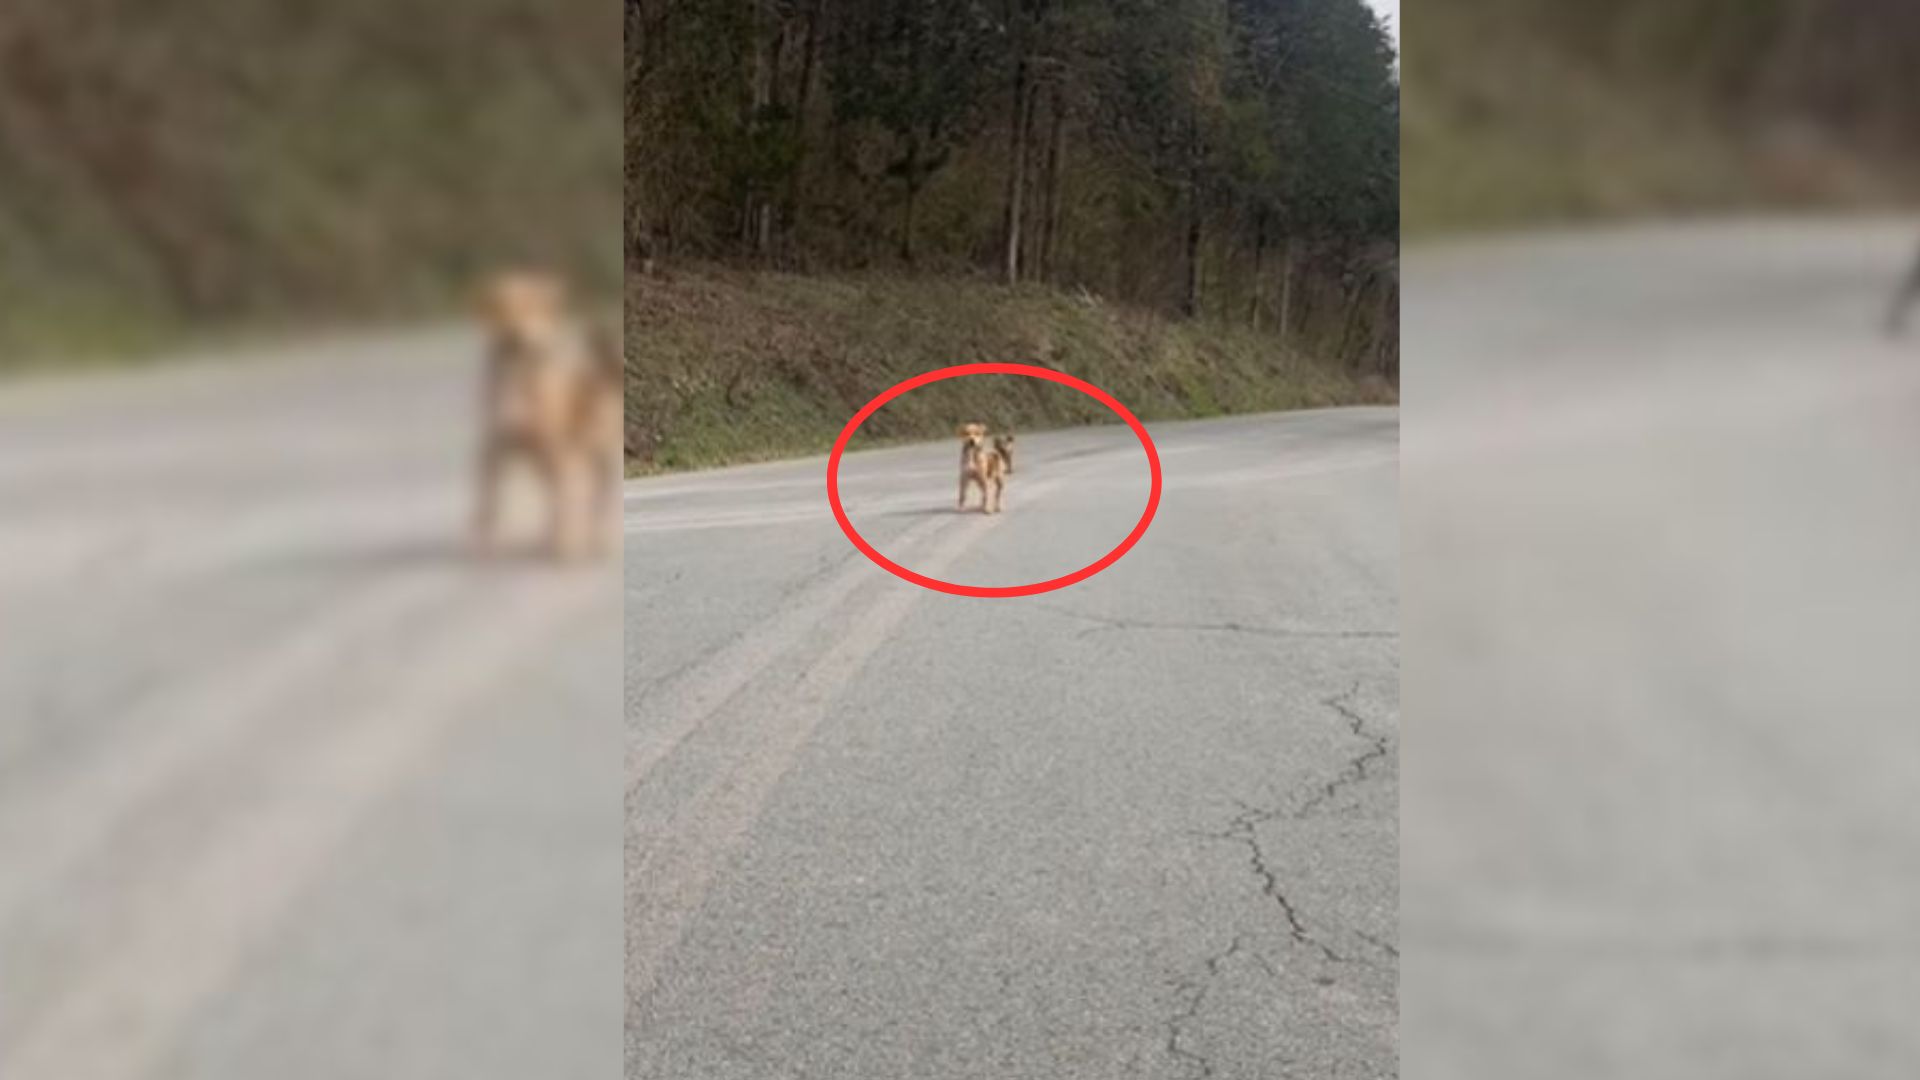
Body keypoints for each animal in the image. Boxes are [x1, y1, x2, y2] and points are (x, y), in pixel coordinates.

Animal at [468, 269, 618, 557]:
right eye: (503, 308)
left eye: (535, 307)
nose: (517, 336)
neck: (516, 376)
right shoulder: (493, 450)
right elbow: (486, 507)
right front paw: (481, 548)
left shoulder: (558, 452)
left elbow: (564, 511)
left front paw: (565, 550)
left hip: (597, 456)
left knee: (597, 499)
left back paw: (596, 540)